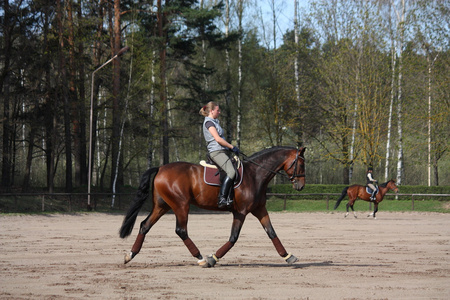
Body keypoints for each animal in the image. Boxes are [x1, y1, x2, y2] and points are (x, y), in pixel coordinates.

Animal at [118, 146, 306, 268]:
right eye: (301, 164)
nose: (301, 186)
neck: (254, 175)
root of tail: (160, 168)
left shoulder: (259, 209)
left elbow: (271, 232)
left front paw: (288, 256)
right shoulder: (241, 212)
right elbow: (233, 238)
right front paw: (213, 258)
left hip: (162, 206)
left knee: (145, 225)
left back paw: (130, 255)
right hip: (180, 205)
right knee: (181, 230)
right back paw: (201, 258)